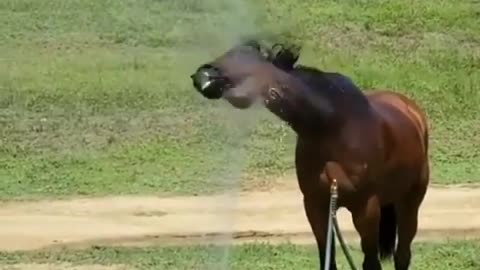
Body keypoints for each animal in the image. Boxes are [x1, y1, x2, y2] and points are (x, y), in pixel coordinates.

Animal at [189, 40, 430, 270]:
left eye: (248, 59)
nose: (202, 75)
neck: (333, 128)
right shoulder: (315, 206)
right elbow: (328, 260)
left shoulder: (366, 209)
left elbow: (371, 264)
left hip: (410, 201)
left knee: (403, 255)